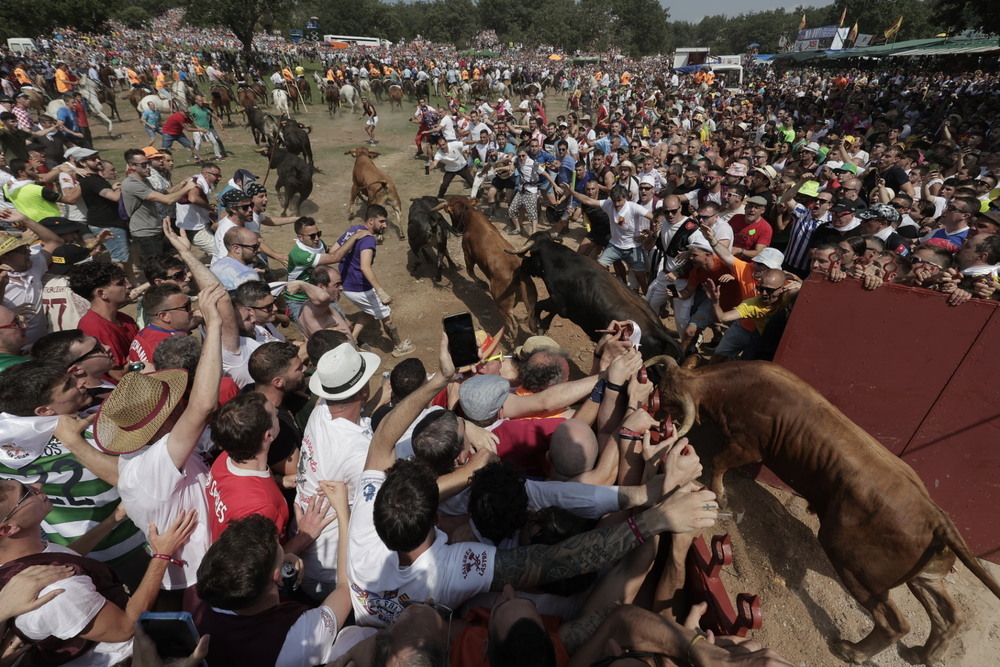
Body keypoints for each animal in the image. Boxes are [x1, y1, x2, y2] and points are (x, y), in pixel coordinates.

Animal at [432, 196, 536, 342]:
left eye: (450, 212)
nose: (454, 227)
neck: (470, 216)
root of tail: (518, 272)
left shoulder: (467, 253)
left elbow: (470, 271)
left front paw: (482, 284)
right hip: (531, 299)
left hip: (501, 303)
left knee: (511, 321)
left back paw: (511, 336)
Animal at [504, 235, 684, 360]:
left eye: (530, 255)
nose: (522, 266)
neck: (562, 262)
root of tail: (656, 329)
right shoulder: (559, 305)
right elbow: (549, 313)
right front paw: (543, 327)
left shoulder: (557, 301)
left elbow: (540, 305)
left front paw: (536, 325)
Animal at [648, 362, 1000, 664]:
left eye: (667, 398)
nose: (652, 401)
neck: (732, 387)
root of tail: (937, 517)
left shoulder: (746, 445)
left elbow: (719, 462)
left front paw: (720, 494)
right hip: (924, 578)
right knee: (950, 617)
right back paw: (924, 654)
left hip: (853, 564)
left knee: (896, 623)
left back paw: (853, 651)